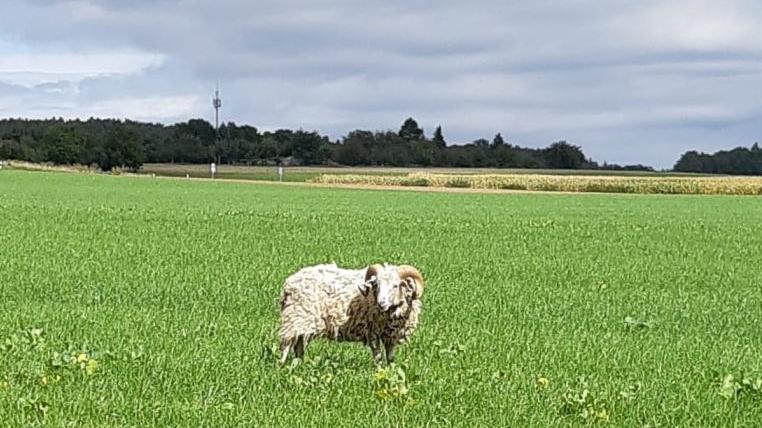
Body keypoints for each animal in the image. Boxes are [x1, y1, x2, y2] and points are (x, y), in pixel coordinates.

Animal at [276, 260, 424, 364]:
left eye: (396, 285)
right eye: (376, 285)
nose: (381, 303)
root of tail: (289, 283)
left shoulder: (391, 335)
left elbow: (390, 358)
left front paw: (390, 372)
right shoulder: (372, 332)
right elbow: (377, 356)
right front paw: (379, 371)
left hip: (305, 323)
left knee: (299, 346)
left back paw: (299, 365)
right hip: (295, 317)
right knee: (286, 345)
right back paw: (281, 367)